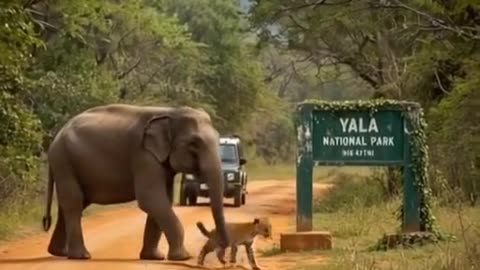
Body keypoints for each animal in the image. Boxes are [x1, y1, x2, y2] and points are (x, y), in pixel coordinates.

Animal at [40, 103, 229, 260]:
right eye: (193, 144)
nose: (223, 248)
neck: (170, 111)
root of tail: (55, 138)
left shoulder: (159, 161)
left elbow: (163, 200)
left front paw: (154, 258)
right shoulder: (143, 156)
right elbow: (151, 199)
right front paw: (183, 258)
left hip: (66, 163)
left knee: (71, 205)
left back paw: (59, 253)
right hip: (64, 161)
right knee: (74, 203)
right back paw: (81, 256)